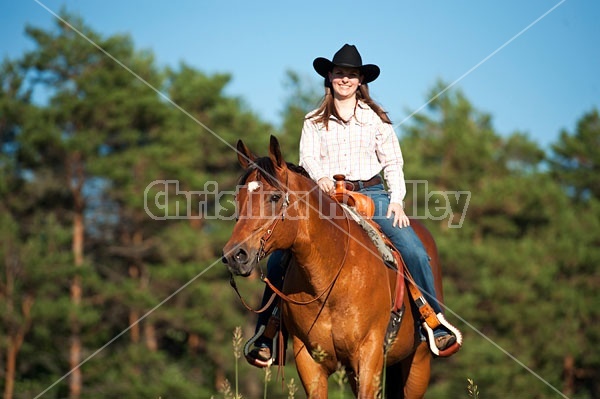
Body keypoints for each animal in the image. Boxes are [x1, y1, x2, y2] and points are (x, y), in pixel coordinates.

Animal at [223, 136, 448, 398]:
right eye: (237, 198)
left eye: (275, 197)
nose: (234, 255)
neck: (330, 281)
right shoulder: (309, 360)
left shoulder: (369, 354)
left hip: (418, 363)